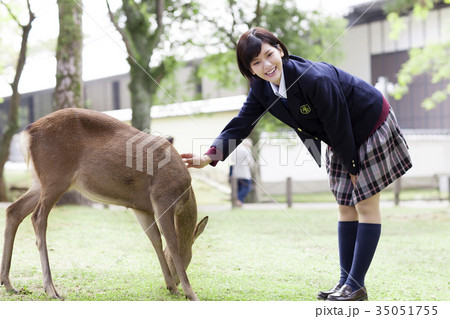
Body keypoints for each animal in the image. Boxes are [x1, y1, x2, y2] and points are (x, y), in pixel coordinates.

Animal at [0, 109, 207, 302]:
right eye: (190, 257)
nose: (177, 283)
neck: (184, 194)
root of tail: (27, 132)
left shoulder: (141, 207)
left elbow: (155, 240)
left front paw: (171, 286)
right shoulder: (162, 197)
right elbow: (172, 242)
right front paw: (190, 293)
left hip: (39, 182)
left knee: (13, 210)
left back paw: (9, 283)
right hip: (56, 176)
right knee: (38, 217)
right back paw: (50, 289)